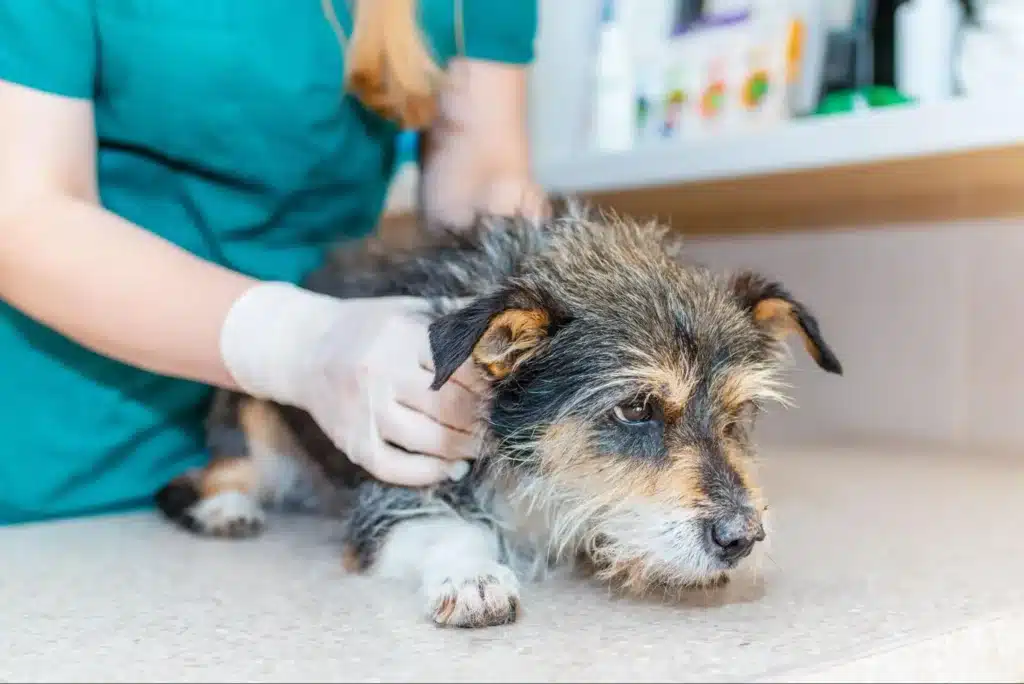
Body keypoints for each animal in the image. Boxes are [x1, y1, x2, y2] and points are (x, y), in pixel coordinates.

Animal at [153, 202, 839, 630]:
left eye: (737, 414)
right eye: (635, 408)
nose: (742, 538)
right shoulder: (392, 495)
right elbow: (451, 529)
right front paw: (473, 575)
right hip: (260, 438)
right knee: (194, 480)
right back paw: (225, 508)